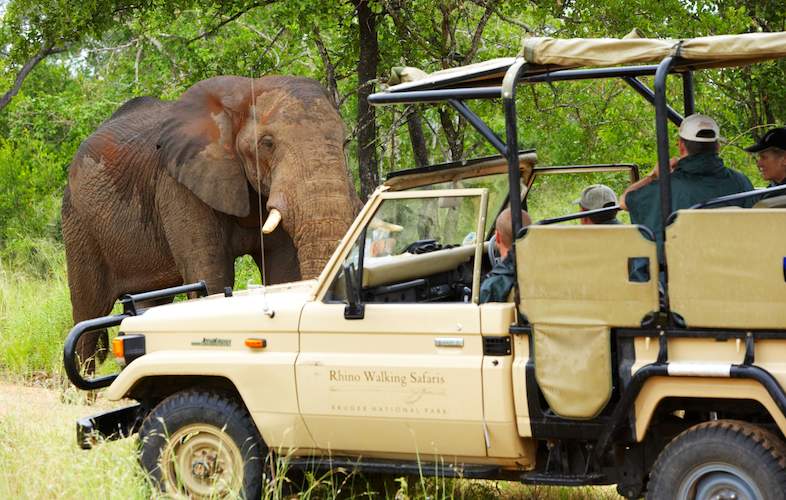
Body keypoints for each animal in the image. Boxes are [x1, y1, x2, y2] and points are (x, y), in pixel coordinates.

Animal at [62, 75, 360, 372]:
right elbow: (211, 275)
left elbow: (283, 270)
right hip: (78, 224)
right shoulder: (179, 185)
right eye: (267, 143)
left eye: (346, 142)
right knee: (88, 313)